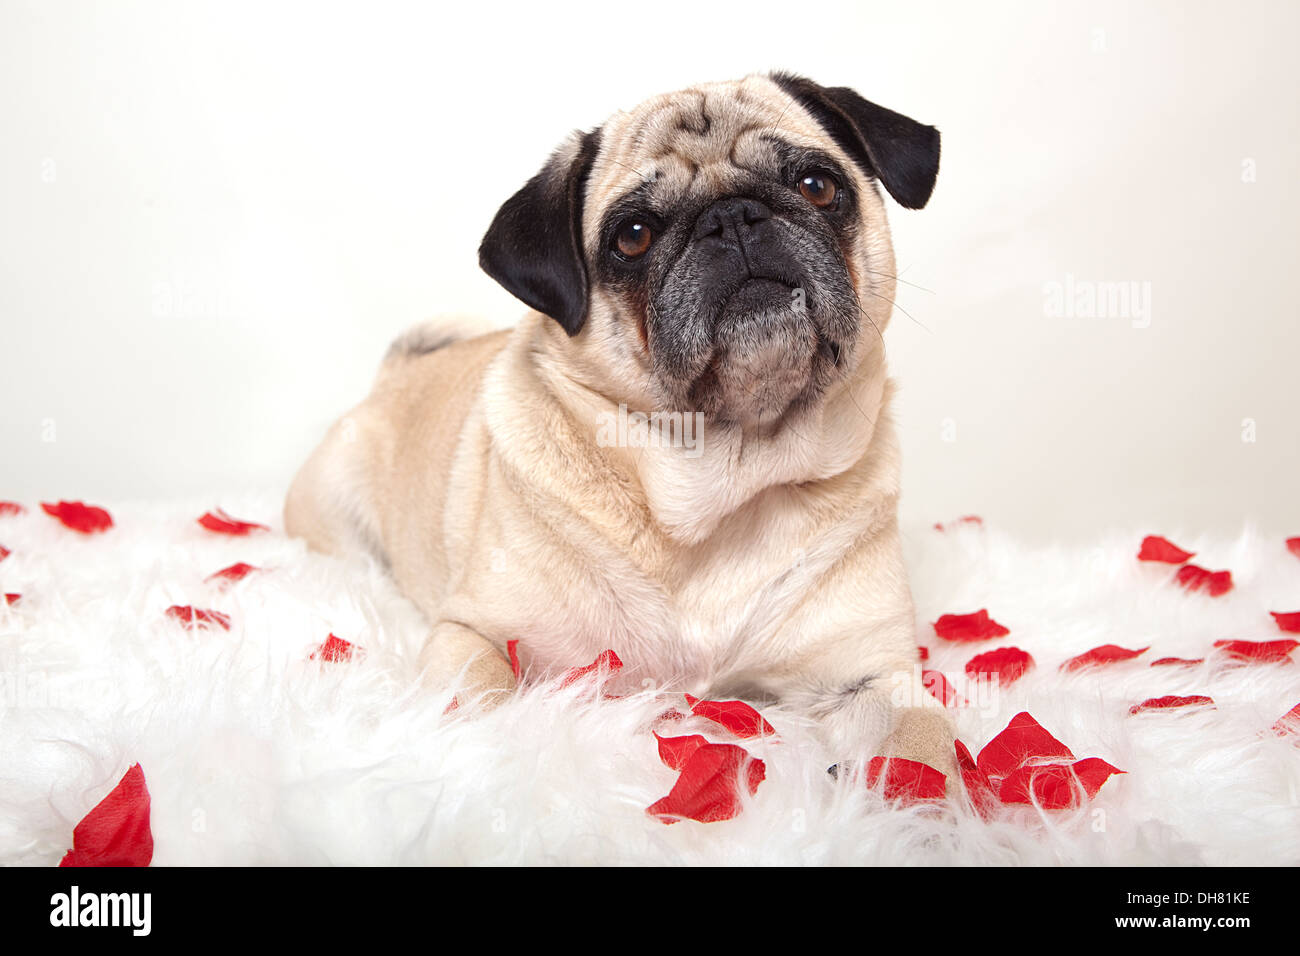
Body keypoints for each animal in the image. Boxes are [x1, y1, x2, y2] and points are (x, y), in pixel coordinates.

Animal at [284, 72, 956, 780]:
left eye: (816, 186)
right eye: (633, 236)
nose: (731, 217)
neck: (726, 482)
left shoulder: (878, 674)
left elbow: (923, 756)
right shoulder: (471, 635)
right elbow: (481, 701)